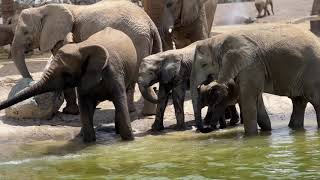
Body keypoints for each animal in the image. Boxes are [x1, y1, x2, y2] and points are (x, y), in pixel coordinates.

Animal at [0, 27, 136, 143]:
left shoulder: (114, 72)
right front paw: (88, 142)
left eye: (67, 74)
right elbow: (85, 105)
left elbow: (119, 100)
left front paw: (129, 140)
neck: (82, 47)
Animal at [10, 0, 161, 115]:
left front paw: (70, 112)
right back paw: (136, 112)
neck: (42, 9)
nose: (30, 80)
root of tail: (150, 23)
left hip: (137, 40)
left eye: (26, 32)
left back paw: (145, 113)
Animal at [190, 25, 320, 135]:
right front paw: (267, 131)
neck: (217, 40)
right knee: (298, 102)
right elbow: (256, 98)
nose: (206, 129)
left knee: (315, 101)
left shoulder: (251, 65)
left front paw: (251, 137)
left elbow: (249, 99)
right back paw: (295, 129)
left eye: (204, 65)